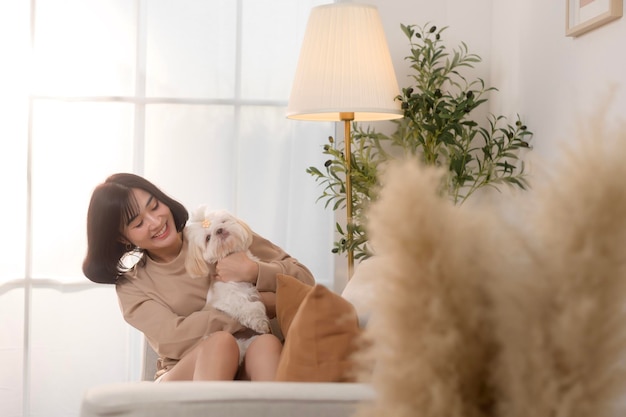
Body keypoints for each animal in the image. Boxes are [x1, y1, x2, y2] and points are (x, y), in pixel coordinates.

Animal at [180, 205, 268, 360]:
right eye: (208, 238)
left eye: (223, 221)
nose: (219, 230)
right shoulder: (227, 300)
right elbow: (252, 307)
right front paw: (260, 322)